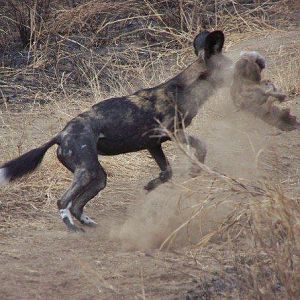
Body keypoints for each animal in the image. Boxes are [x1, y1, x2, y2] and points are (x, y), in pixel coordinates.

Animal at [0, 30, 232, 231]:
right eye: (231, 66)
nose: (242, 68)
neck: (186, 90)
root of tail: (61, 134)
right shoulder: (172, 133)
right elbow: (201, 146)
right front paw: (194, 170)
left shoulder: (153, 143)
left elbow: (168, 172)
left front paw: (152, 185)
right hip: (87, 171)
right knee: (63, 201)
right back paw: (73, 228)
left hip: (97, 177)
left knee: (77, 204)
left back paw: (89, 224)